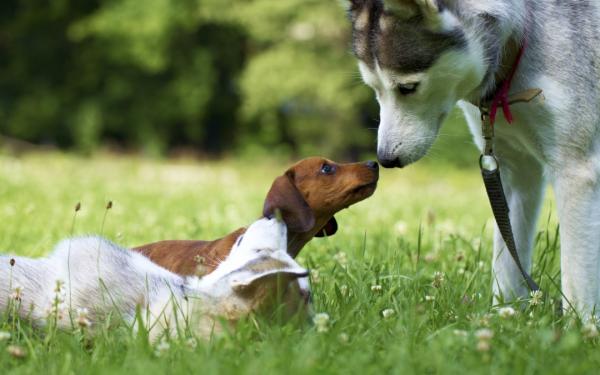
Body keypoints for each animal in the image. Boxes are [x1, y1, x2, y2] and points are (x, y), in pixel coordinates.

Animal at [346, 0, 600, 316]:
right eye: (374, 88)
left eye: (407, 87)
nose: (385, 159)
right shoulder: (513, 169)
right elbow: (506, 258)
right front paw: (504, 316)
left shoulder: (574, 169)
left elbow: (577, 281)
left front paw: (580, 325)